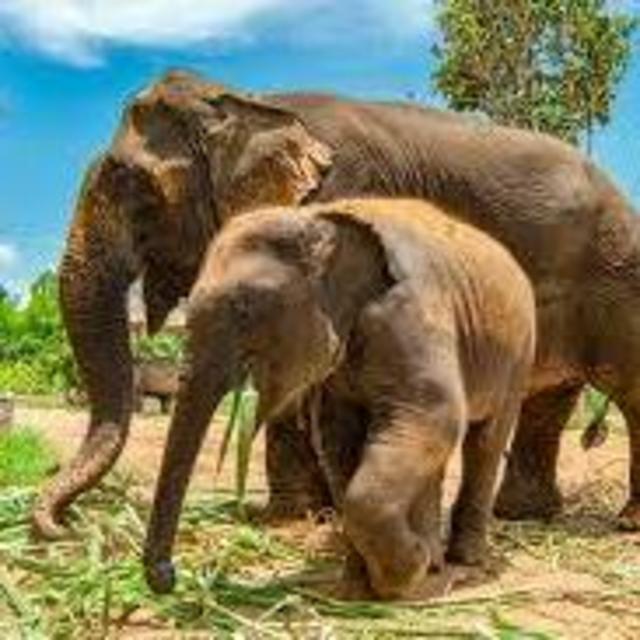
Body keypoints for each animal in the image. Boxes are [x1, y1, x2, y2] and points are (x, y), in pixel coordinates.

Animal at [34, 69, 640, 538]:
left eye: (137, 189)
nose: (64, 526)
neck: (249, 101)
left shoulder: (338, 203)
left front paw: (291, 517)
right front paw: (299, 512)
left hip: (617, 281)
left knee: (626, 389)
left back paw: (624, 524)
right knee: (548, 397)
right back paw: (522, 517)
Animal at [142, 198, 536, 600]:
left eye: (244, 308)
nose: (169, 576)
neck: (318, 219)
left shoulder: (409, 313)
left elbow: (436, 414)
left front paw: (404, 574)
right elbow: (339, 438)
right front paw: (359, 588)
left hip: (519, 351)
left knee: (484, 440)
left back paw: (462, 560)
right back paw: (435, 563)